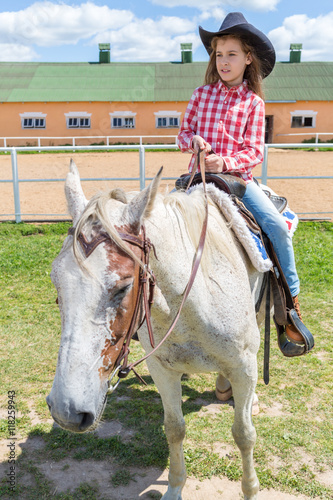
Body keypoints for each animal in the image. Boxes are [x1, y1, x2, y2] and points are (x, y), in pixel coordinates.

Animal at [47, 160, 270, 500]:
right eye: (56, 281)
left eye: (124, 286)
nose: (66, 411)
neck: (193, 303)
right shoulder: (162, 369)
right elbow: (174, 428)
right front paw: (175, 487)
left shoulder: (243, 367)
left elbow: (244, 433)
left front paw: (250, 490)